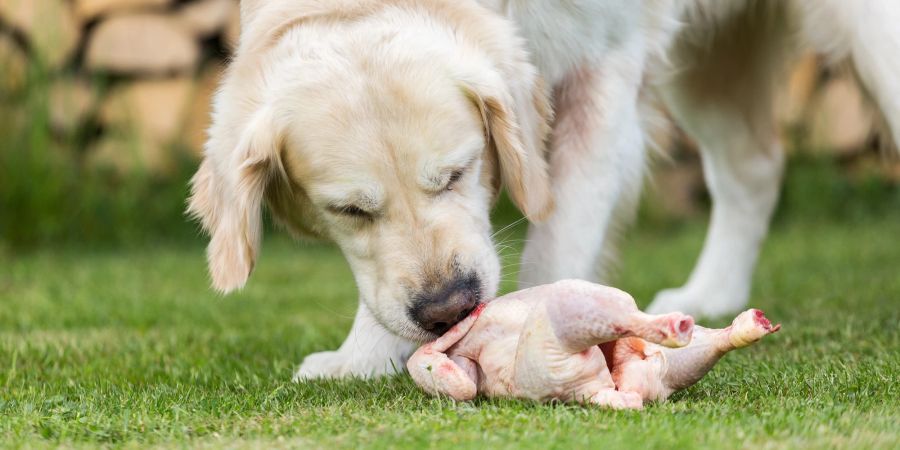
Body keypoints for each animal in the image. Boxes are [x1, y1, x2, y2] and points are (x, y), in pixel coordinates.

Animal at [190, 0, 900, 380]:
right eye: (348, 210)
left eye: (460, 171)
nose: (449, 308)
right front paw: (360, 360)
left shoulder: (603, 66)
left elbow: (562, 237)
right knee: (752, 165)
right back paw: (712, 291)